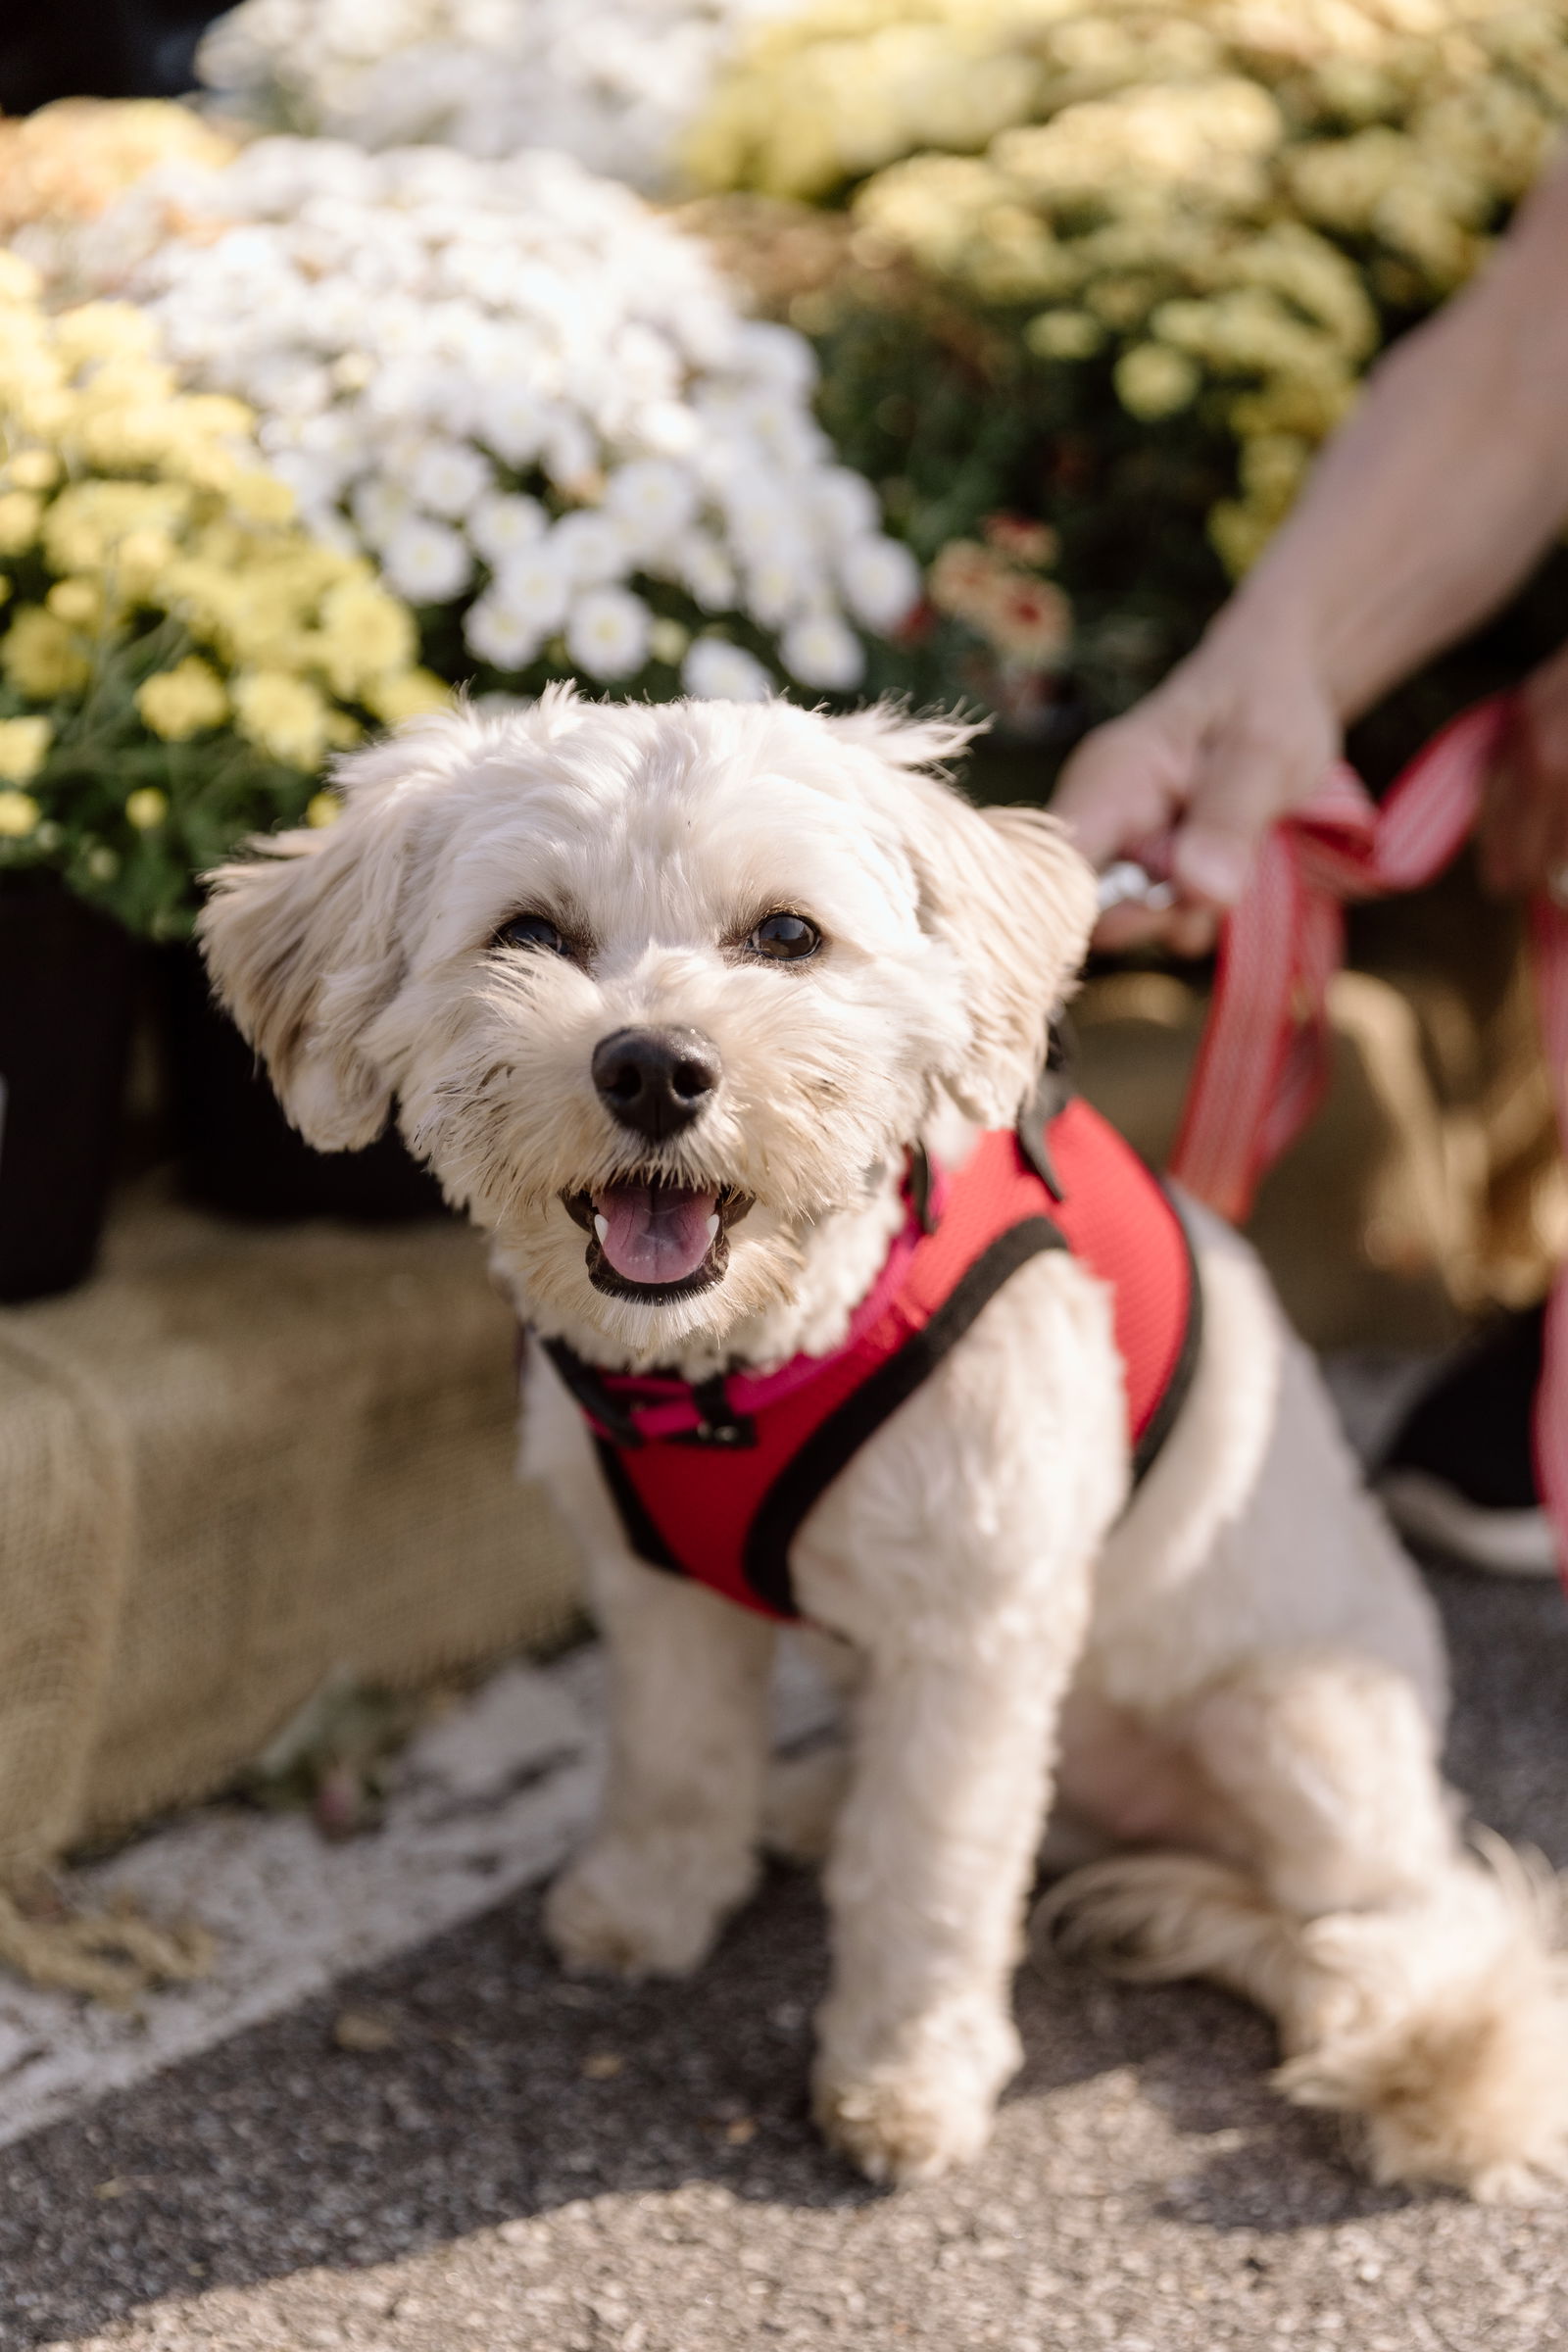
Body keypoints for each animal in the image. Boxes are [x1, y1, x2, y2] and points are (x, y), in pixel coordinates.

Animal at [202, 686, 1568, 2191]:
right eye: (530, 934)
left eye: (786, 936)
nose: (655, 1068)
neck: (738, 1369)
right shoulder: (661, 1590)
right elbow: (674, 1758)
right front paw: (651, 1900)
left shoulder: (974, 1635)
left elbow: (929, 1872)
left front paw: (905, 2078)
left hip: (1300, 1721)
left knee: (1405, 1913)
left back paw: (1444, 2062)